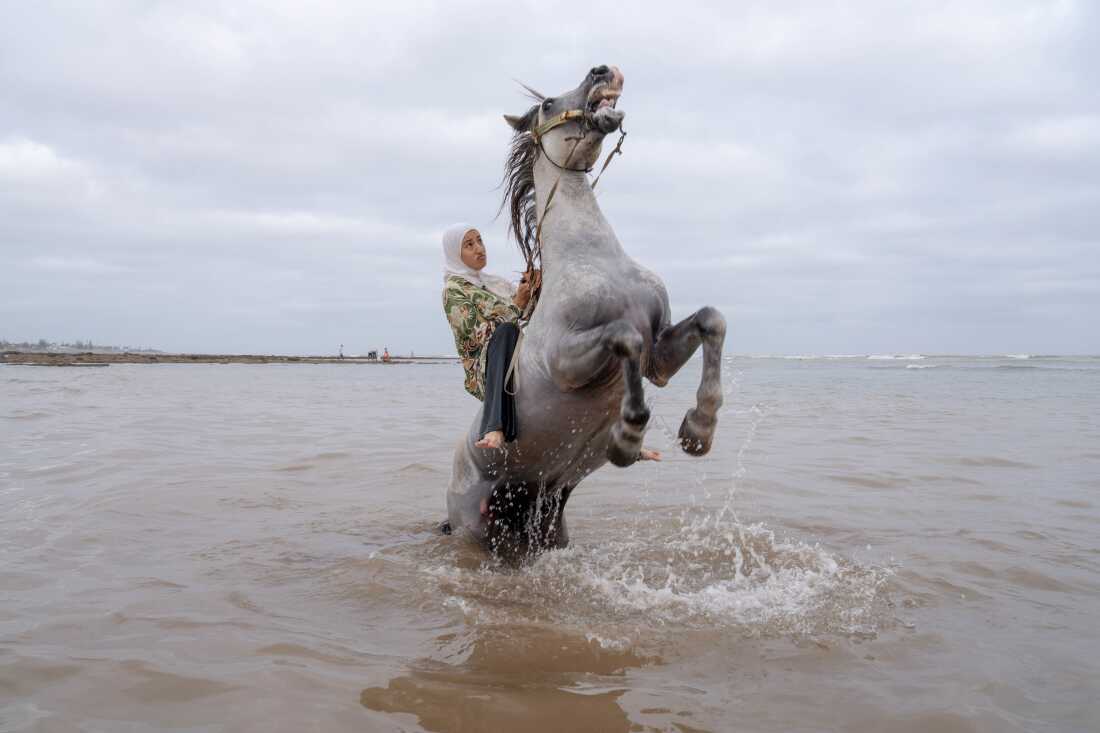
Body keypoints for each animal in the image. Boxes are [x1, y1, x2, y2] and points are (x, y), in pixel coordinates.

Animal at [446, 65, 726, 560]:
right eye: (546, 105)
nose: (602, 71)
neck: (593, 256)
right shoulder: (567, 360)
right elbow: (624, 337)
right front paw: (627, 437)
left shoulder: (659, 358)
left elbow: (712, 320)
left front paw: (699, 430)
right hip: (474, 527)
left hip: (545, 511)